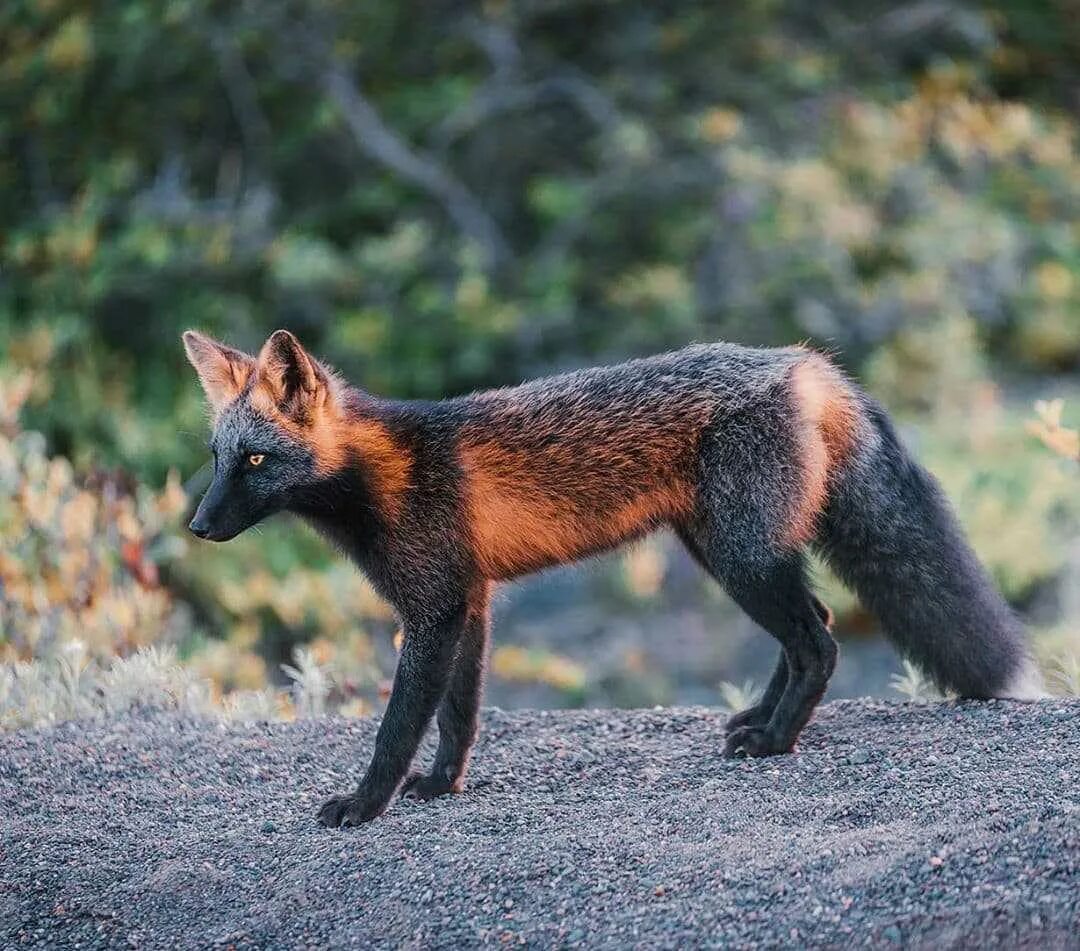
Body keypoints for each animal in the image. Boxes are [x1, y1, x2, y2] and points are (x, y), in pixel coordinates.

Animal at [185, 325, 1045, 824]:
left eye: (255, 461)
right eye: (218, 458)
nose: (196, 525)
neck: (387, 477)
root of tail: (804, 363)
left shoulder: (432, 609)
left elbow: (397, 726)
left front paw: (367, 804)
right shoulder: (471, 601)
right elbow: (459, 716)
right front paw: (442, 785)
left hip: (741, 557)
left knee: (821, 640)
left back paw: (775, 741)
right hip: (730, 549)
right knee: (812, 631)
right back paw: (760, 720)